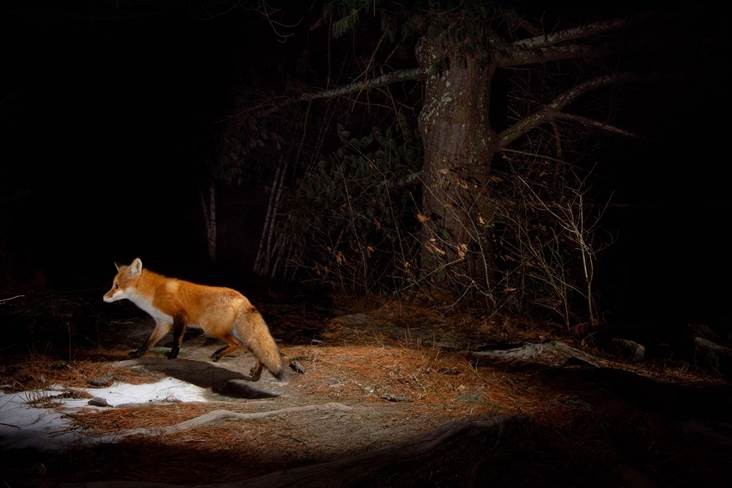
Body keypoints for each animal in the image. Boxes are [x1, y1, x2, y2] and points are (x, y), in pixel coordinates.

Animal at [103, 258, 284, 381]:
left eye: (116, 286)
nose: (104, 297)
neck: (153, 293)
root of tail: (244, 298)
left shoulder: (179, 316)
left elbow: (177, 340)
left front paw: (172, 356)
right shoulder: (163, 323)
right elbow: (148, 342)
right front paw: (137, 354)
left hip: (211, 328)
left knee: (237, 344)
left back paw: (218, 355)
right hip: (235, 332)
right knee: (257, 352)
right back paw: (256, 373)